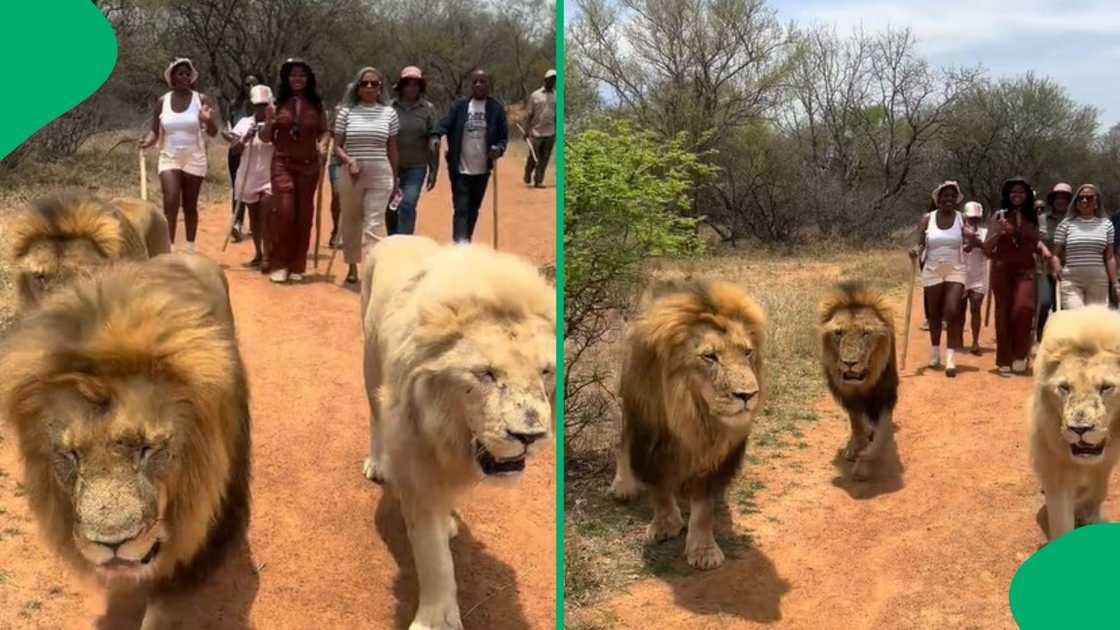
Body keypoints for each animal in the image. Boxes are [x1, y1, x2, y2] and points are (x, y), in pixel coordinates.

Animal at [358, 235, 555, 630]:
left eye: (545, 372)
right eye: (486, 374)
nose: (531, 436)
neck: (449, 434)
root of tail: (396, 236)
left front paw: (448, 520)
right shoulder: (416, 463)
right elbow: (434, 557)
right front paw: (435, 620)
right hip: (370, 368)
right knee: (374, 416)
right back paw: (377, 464)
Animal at [609, 279, 766, 570]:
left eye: (747, 352)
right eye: (710, 356)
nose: (748, 395)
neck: (693, 416)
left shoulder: (714, 459)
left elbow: (703, 507)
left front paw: (703, 550)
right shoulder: (650, 439)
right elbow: (658, 488)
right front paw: (665, 525)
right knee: (621, 441)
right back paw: (623, 485)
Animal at [818, 281, 899, 481]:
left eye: (866, 333)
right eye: (838, 332)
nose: (850, 363)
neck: (863, 385)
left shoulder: (885, 395)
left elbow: (882, 433)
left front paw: (866, 460)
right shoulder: (849, 398)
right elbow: (856, 424)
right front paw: (857, 448)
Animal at [1029, 306, 1120, 541]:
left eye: (1106, 387)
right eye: (1064, 387)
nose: (1079, 429)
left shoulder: (1106, 463)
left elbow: (1098, 491)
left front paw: (1089, 514)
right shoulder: (1055, 465)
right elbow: (1061, 520)